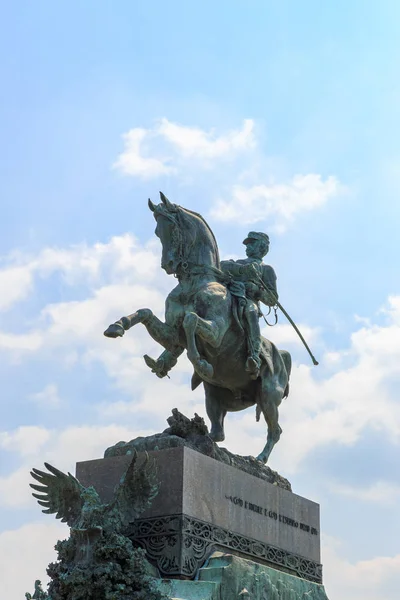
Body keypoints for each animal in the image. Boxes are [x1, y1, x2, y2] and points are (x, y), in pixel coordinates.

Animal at [104, 192, 290, 464]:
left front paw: (202, 363)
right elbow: (146, 313)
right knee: (218, 433)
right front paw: (117, 326)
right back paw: (189, 432)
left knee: (275, 431)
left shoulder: (216, 331)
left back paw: (258, 459)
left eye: (171, 228)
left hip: (268, 396)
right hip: (213, 394)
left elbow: (191, 320)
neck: (195, 282)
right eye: (157, 231)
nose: (168, 264)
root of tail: (282, 356)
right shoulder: (172, 336)